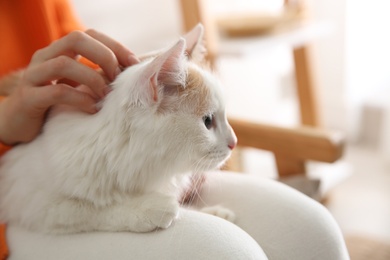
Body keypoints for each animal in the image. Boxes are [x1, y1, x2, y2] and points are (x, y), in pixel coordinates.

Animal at [0, 25, 238, 235]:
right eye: (208, 121)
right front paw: (147, 207)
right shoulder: (27, 198)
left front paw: (213, 212)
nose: (234, 142)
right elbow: (86, 208)